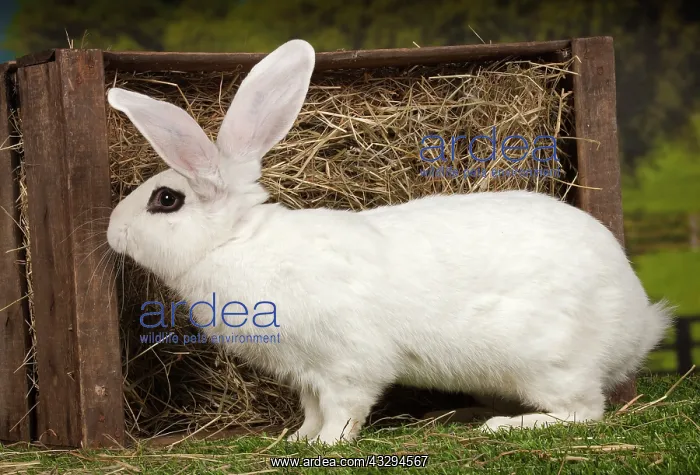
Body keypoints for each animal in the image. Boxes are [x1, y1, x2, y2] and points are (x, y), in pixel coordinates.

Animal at [106, 38, 673, 445]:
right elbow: (312, 410)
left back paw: (508, 426)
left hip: (548, 363)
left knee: (585, 411)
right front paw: (298, 439)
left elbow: (344, 407)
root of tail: (638, 322)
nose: (112, 231)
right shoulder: (307, 374)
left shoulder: (345, 364)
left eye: (166, 200)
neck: (234, 242)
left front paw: (327, 445)